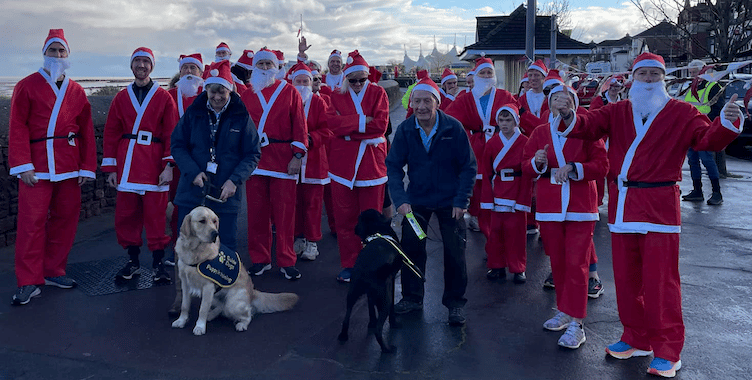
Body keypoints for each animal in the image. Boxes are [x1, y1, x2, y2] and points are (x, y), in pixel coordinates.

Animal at [172, 206, 298, 334]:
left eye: (214, 221)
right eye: (202, 221)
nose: (215, 233)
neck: (194, 251)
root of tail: (252, 292)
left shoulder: (208, 287)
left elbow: (202, 309)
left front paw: (200, 327)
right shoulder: (185, 283)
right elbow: (184, 306)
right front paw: (181, 321)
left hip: (232, 303)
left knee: (247, 313)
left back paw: (241, 324)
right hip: (215, 296)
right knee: (221, 307)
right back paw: (211, 314)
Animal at [338, 208, 402, 354]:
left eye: (358, 219)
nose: (355, 228)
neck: (378, 230)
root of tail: (365, 269)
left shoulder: (369, 294)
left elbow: (370, 307)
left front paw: (371, 322)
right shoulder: (391, 283)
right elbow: (391, 309)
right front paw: (394, 323)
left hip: (352, 293)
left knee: (346, 317)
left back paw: (343, 336)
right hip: (384, 299)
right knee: (379, 330)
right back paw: (387, 349)